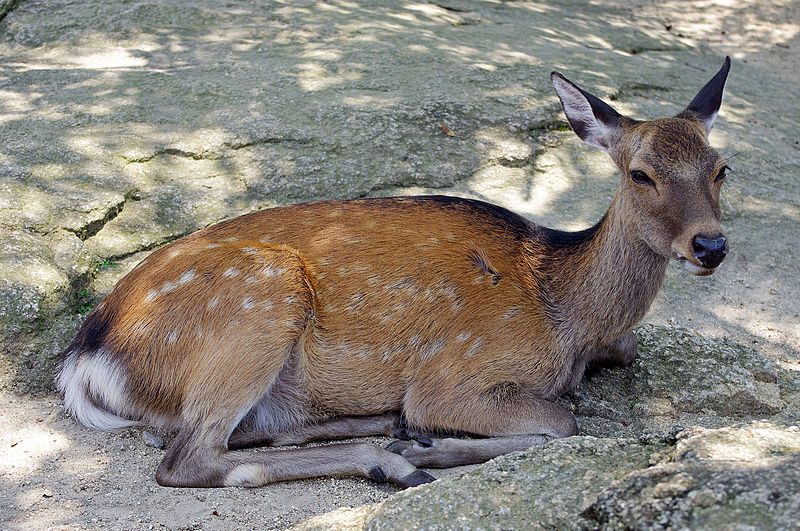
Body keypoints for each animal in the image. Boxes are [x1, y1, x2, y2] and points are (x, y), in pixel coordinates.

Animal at [54, 57, 732, 486]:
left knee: (245, 432)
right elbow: (563, 422)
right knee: (186, 458)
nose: (711, 245)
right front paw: (434, 442)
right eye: (640, 174)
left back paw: (388, 430)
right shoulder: (461, 370)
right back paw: (393, 459)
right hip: (257, 303)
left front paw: (421, 436)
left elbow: (612, 367)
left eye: (722, 168)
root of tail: (85, 359)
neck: (565, 312)